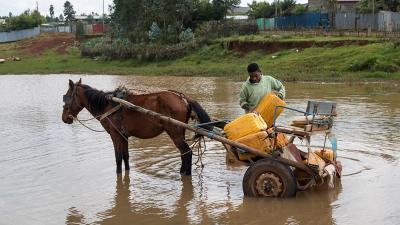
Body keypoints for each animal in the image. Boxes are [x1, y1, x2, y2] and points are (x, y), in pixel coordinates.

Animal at [61, 79, 211, 176]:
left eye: (66, 96)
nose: (64, 118)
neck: (108, 104)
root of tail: (182, 98)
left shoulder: (115, 135)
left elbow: (118, 158)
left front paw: (118, 174)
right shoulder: (123, 136)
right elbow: (126, 157)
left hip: (174, 132)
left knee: (187, 153)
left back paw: (186, 175)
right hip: (180, 132)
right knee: (183, 153)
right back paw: (182, 172)